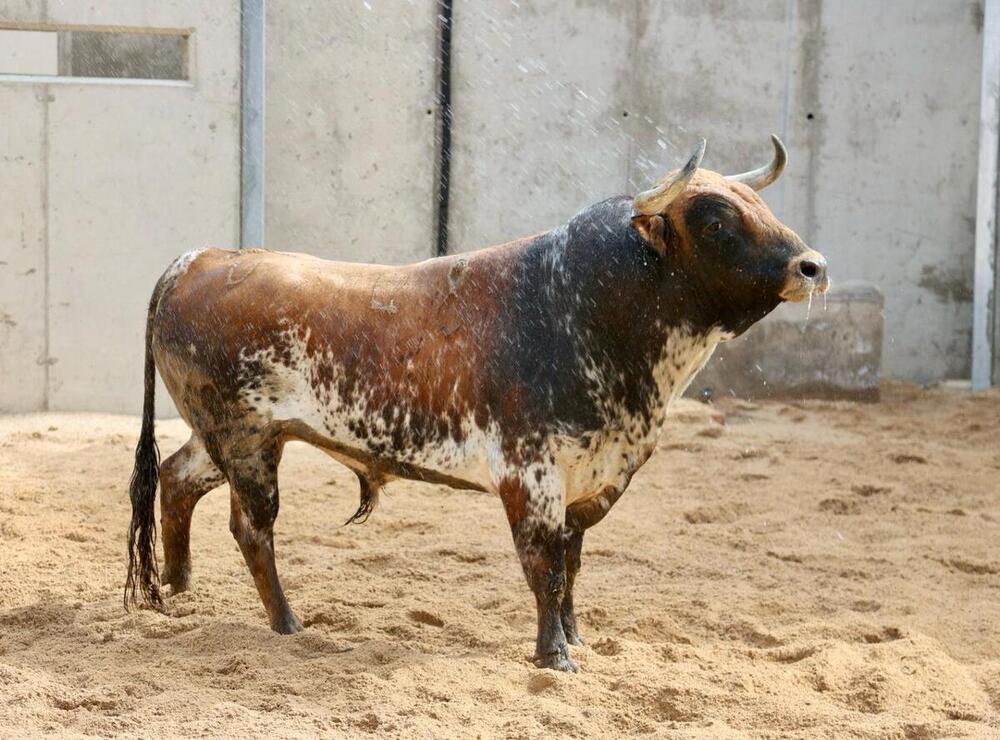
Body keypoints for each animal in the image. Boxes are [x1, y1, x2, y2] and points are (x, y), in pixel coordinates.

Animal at [125, 137, 828, 672]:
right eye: (716, 222)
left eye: (760, 204)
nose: (812, 265)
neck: (580, 305)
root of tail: (198, 258)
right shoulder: (531, 475)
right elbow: (545, 568)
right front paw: (555, 659)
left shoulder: (587, 479)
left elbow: (572, 568)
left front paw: (576, 641)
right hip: (245, 441)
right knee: (252, 527)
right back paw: (286, 624)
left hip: (226, 437)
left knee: (178, 479)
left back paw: (176, 590)